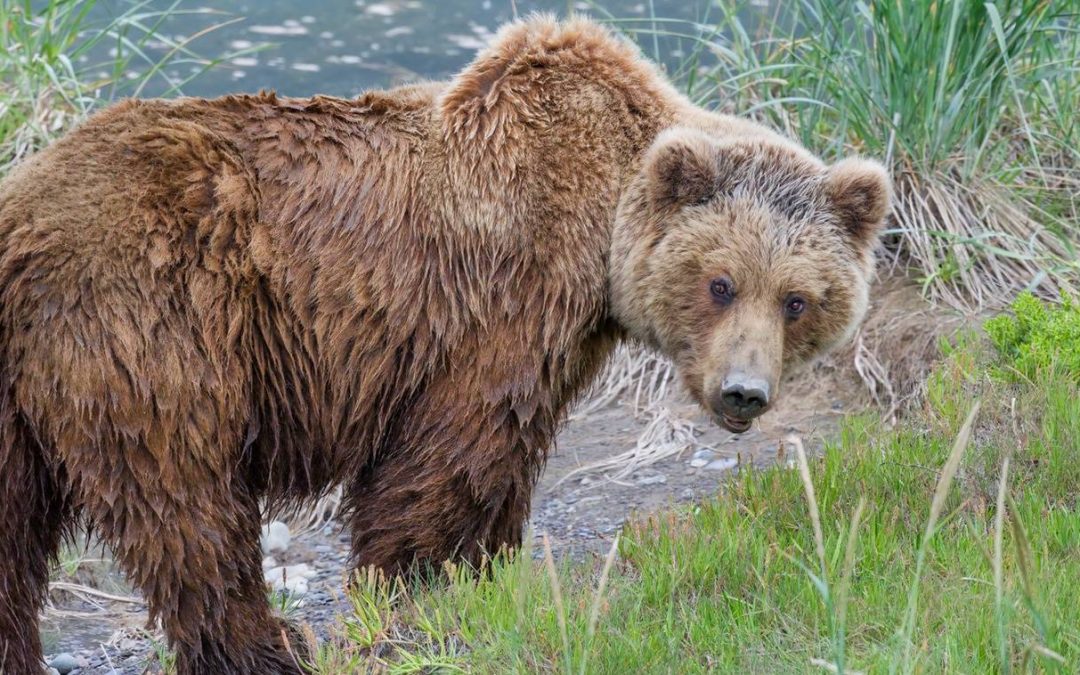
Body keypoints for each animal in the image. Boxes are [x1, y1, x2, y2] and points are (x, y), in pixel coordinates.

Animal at [0, 15, 890, 675]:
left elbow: (506, 457)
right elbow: (451, 452)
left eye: (798, 298)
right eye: (720, 282)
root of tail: (24, 211)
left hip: (17, 394)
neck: (603, 217)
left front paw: (489, 572)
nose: (744, 392)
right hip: (151, 326)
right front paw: (413, 586)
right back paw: (270, 643)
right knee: (186, 503)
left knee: (15, 534)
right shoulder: (503, 298)